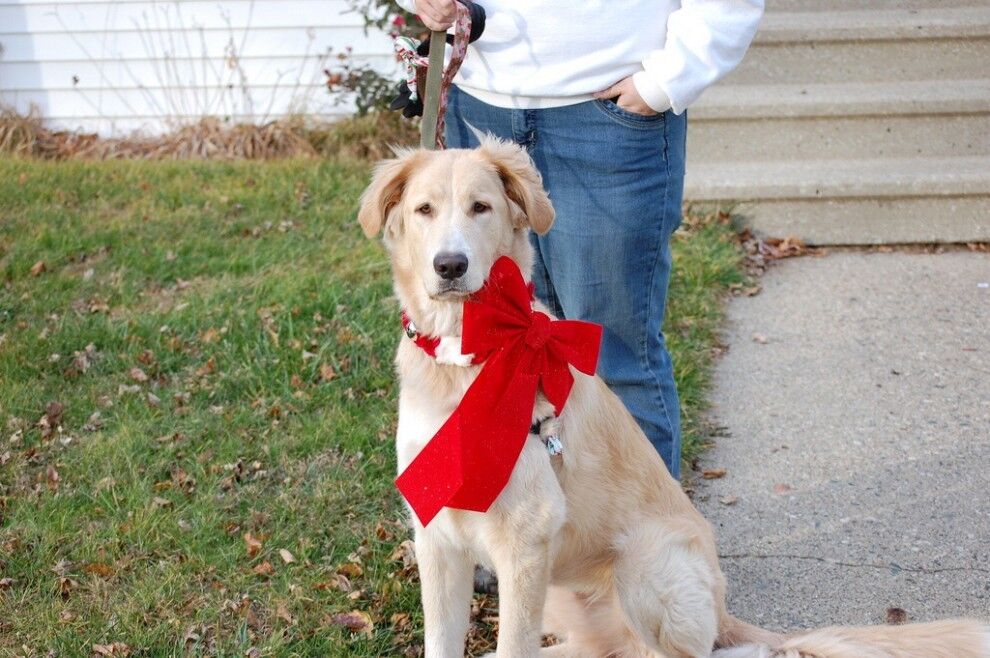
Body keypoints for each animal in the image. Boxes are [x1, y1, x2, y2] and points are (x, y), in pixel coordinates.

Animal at [356, 140, 990, 656]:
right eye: (424, 210)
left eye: (481, 208)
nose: (450, 265)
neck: (465, 355)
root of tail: (723, 607)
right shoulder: (438, 538)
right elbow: (444, 641)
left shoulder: (526, 540)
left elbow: (515, 645)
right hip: (566, 588)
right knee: (602, 649)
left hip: (645, 567)